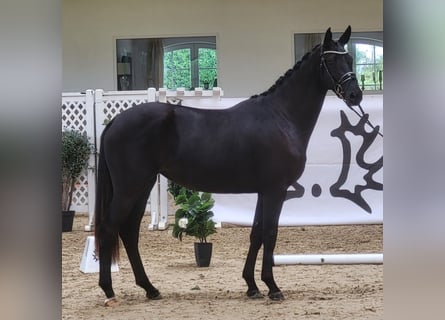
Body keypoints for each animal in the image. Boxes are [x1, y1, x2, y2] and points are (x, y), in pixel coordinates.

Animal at [93, 25, 360, 304]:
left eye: (350, 59)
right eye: (331, 60)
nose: (356, 95)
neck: (281, 116)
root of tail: (116, 121)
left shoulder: (264, 191)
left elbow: (256, 234)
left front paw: (252, 285)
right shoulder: (275, 190)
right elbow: (270, 233)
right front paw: (272, 286)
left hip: (141, 186)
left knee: (129, 231)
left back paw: (150, 288)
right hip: (130, 188)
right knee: (110, 228)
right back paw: (109, 290)